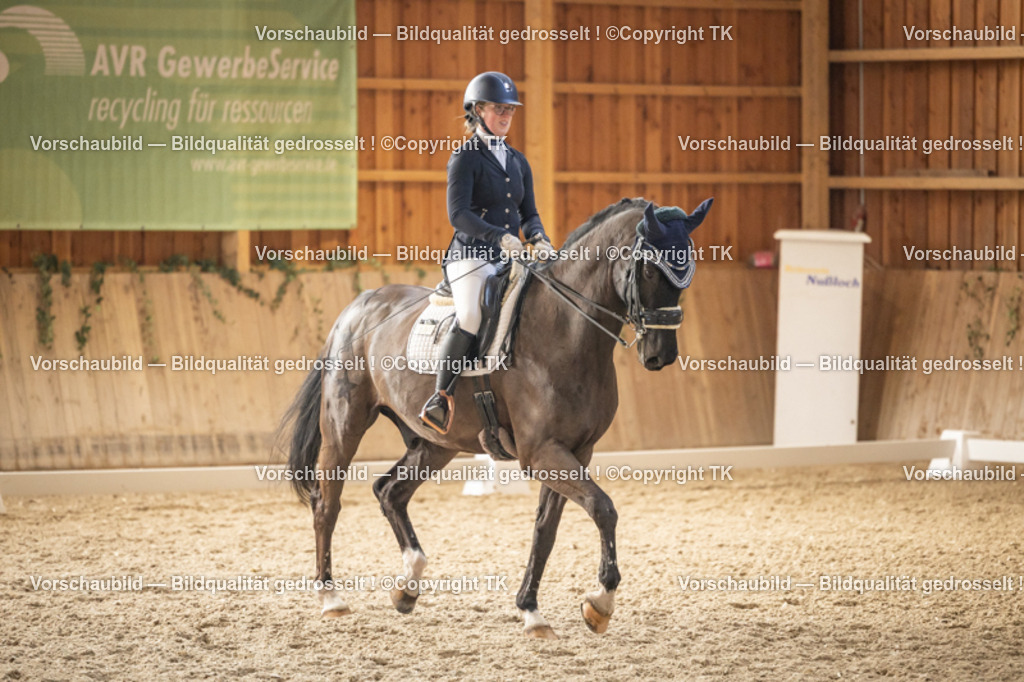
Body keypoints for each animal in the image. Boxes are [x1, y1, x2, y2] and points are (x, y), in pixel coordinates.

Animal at [280, 196, 712, 639]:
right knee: (327, 504)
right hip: (344, 425)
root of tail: (358, 305)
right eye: (649, 269)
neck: (565, 330)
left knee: (390, 492)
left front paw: (532, 610)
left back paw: (407, 588)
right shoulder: (542, 453)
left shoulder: (576, 451)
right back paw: (331, 598)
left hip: (435, 443)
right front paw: (600, 603)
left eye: (686, 274)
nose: (660, 355)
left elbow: (546, 531)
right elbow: (603, 508)